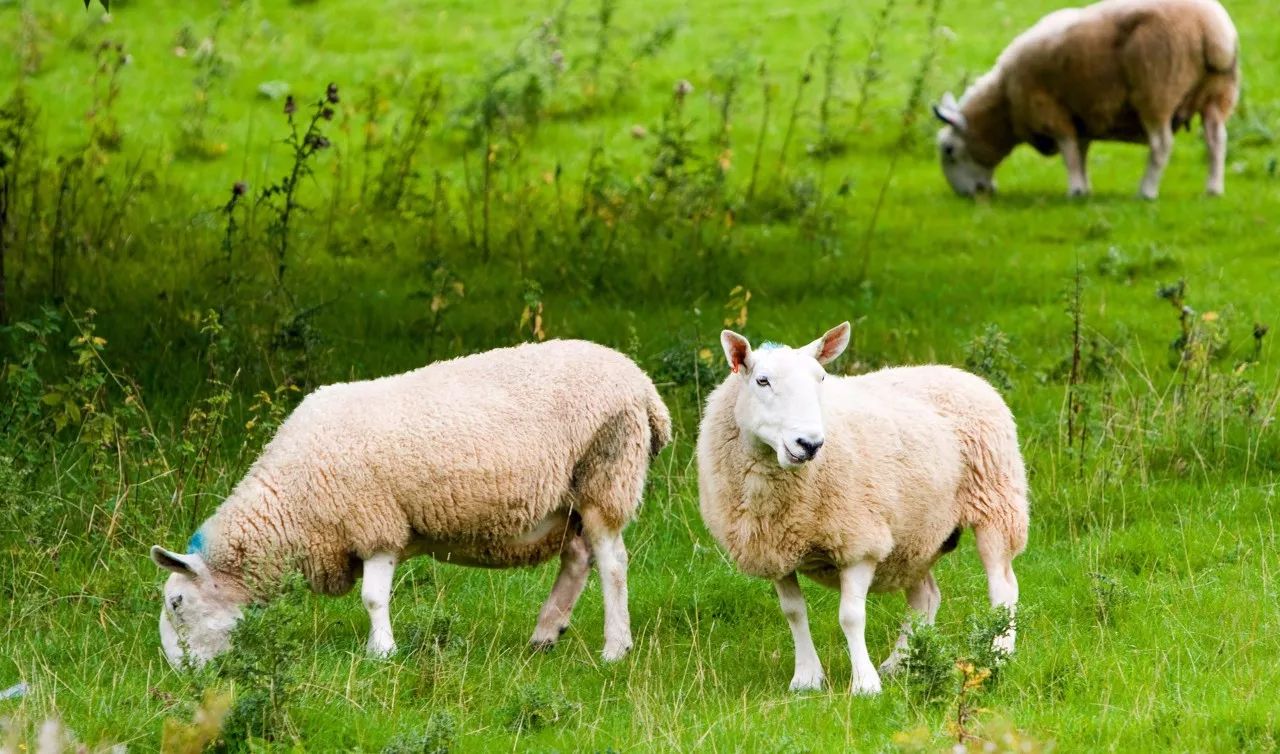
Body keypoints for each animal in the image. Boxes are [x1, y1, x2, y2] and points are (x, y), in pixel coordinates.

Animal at [149, 340, 670, 665]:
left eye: (177, 602)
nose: (178, 670)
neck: (288, 508)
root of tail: (644, 387)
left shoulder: (375, 524)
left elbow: (373, 597)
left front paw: (381, 653)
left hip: (606, 474)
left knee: (612, 563)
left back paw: (615, 648)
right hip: (571, 501)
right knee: (578, 558)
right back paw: (546, 633)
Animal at [696, 323, 1024, 696]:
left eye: (821, 378)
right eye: (762, 381)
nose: (809, 444)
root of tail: (958, 373)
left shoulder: (858, 541)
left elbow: (850, 616)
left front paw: (865, 683)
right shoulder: (773, 548)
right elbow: (793, 612)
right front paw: (806, 677)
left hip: (996, 503)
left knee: (1003, 587)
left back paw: (998, 654)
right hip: (917, 535)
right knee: (925, 597)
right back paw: (900, 663)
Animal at [931, 0, 1239, 198]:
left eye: (949, 150)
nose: (968, 195)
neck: (1005, 103)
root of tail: (1212, 30)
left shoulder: (1050, 111)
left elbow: (1068, 152)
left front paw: (1076, 191)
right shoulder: (1081, 113)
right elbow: (1081, 152)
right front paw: (1086, 188)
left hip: (1157, 90)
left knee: (1161, 144)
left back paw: (1146, 191)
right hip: (1218, 93)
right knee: (1216, 140)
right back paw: (1214, 189)